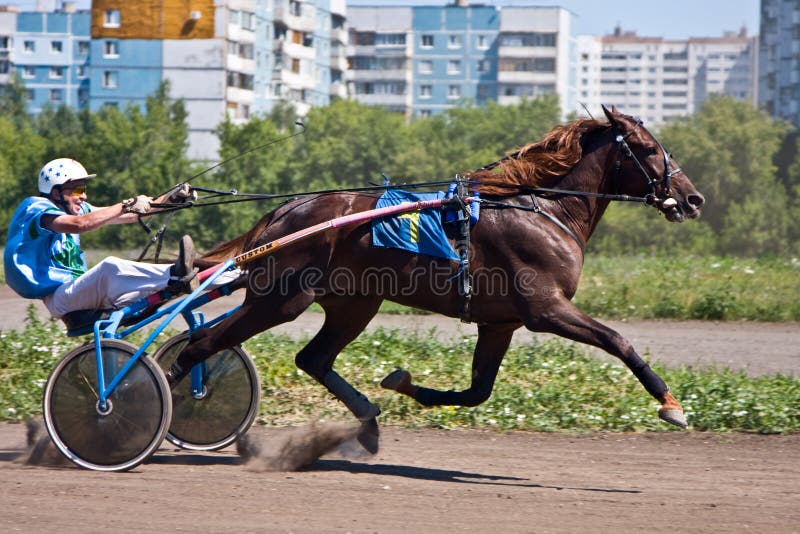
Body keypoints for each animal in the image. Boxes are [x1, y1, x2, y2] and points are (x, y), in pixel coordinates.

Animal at [170, 108, 708, 452]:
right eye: (646, 148)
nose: (692, 198)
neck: (544, 210)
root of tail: (285, 212)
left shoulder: (500, 323)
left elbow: (477, 391)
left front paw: (404, 382)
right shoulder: (546, 309)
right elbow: (618, 340)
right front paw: (671, 404)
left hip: (352, 303)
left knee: (313, 358)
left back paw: (367, 418)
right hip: (281, 299)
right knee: (201, 347)